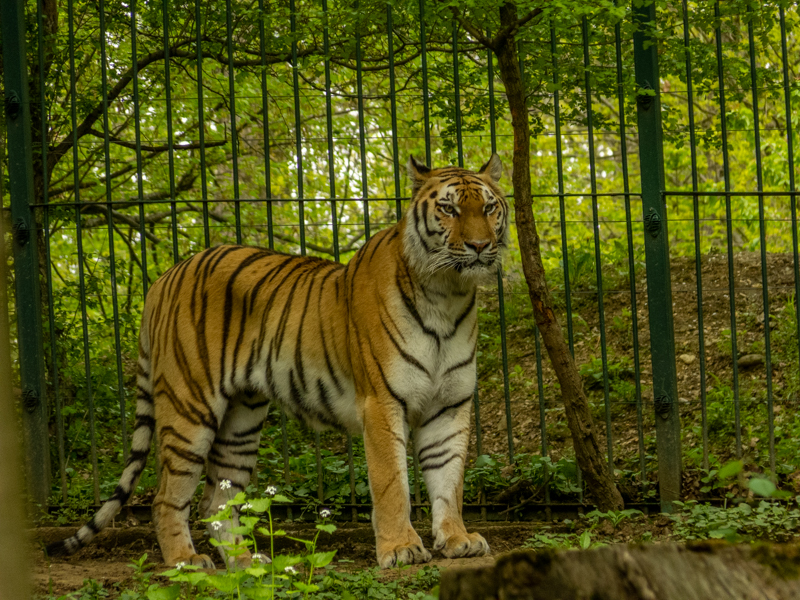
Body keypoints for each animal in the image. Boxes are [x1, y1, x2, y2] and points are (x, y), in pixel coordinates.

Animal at [47, 154, 508, 569]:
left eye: (488, 208)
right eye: (448, 209)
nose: (480, 245)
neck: (447, 294)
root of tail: (164, 277)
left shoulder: (449, 406)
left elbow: (449, 479)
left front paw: (457, 539)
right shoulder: (382, 402)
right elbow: (392, 482)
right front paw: (400, 548)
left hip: (241, 421)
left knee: (216, 501)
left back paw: (247, 563)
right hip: (188, 408)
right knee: (166, 497)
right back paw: (185, 562)